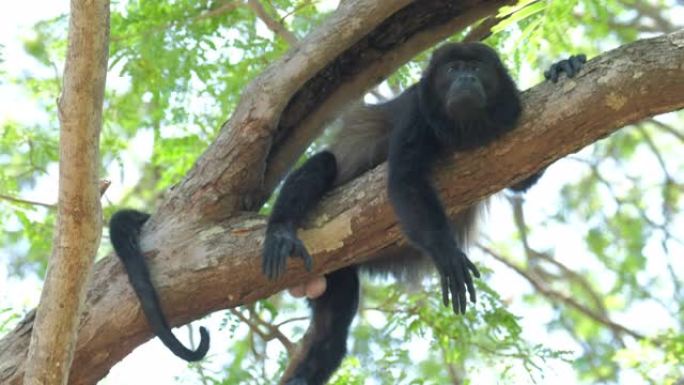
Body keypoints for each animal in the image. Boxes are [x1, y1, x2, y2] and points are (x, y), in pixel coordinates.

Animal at [264, 42, 584, 384]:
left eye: (477, 68)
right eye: (453, 69)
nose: (467, 78)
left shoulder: (514, 115)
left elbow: (522, 177)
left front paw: (563, 66)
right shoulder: (417, 110)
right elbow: (405, 180)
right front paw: (447, 253)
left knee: (331, 331)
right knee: (324, 163)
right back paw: (281, 231)